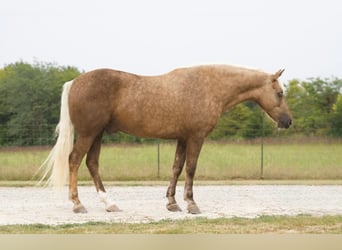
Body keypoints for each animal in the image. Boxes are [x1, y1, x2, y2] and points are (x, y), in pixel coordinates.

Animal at [39, 64, 292, 213]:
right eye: (280, 93)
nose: (288, 121)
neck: (210, 86)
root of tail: (74, 82)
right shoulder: (196, 137)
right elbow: (190, 168)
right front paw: (191, 203)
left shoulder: (182, 138)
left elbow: (176, 168)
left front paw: (172, 203)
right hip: (88, 133)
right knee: (74, 160)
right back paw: (77, 204)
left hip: (97, 134)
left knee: (92, 163)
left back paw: (110, 203)